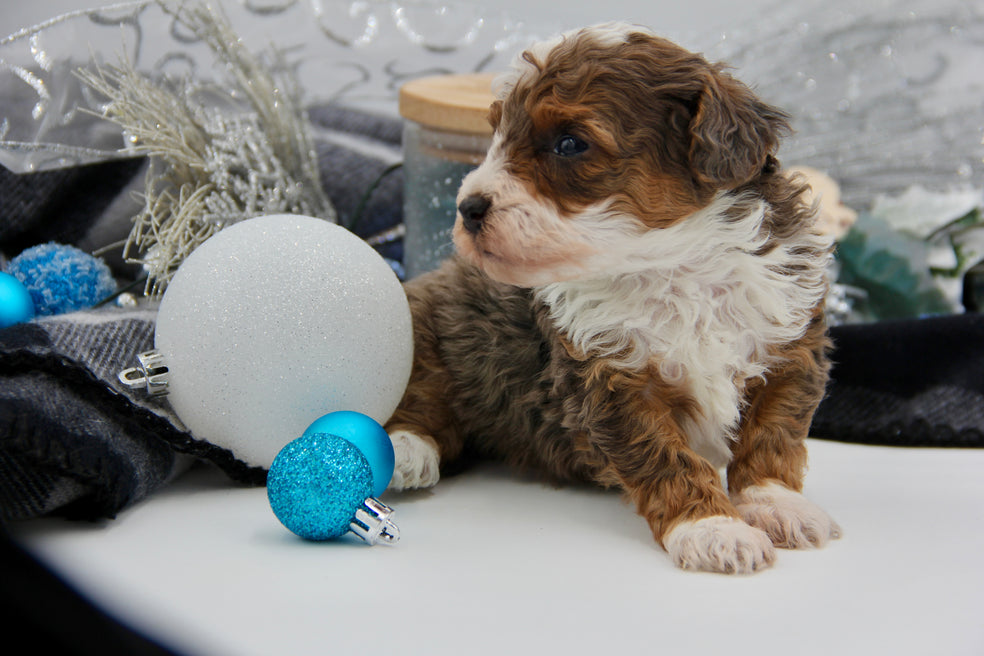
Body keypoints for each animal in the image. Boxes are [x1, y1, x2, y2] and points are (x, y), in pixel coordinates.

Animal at [384, 23, 836, 572]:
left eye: (569, 143)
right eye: (496, 134)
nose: (468, 207)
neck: (674, 267)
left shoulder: (789, 347)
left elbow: (772, 435)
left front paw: (775, 502)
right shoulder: (612, 383)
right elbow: (668, 459)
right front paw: (712, 526)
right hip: (432, 325)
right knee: (421, 394)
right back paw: (405, 448)